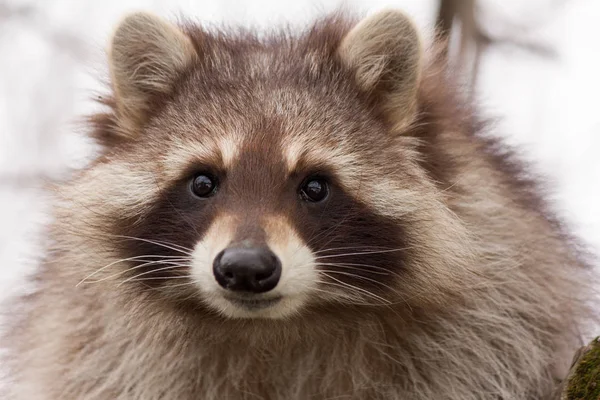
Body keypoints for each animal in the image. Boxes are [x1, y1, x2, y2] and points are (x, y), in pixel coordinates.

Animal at [2, 7, 596, 400]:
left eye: (314, 186)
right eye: (203, 182)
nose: (245, 269)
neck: (278, 325)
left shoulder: (490, 322)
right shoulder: (101, 350)